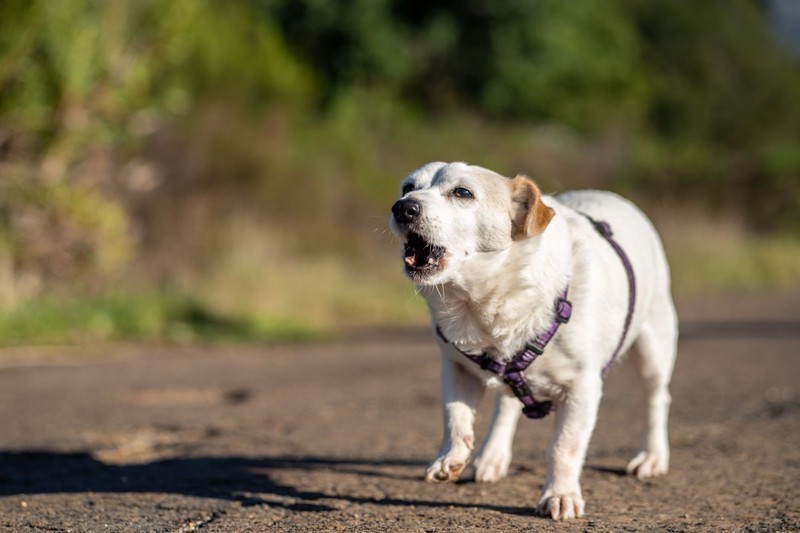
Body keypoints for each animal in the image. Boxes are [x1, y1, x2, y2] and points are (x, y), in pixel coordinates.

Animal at [390, 162, 680, 520]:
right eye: (407, 188)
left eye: (462, 192)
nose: (402, 207)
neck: (486, 304)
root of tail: (612, 196)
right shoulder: (456, 369)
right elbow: (454, 418)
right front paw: (451, 459)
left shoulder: (582, 388)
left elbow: (564, 446)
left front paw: (561, 494)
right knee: (508, 404)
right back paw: (492, 456)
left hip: (653, 345)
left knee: (657, 398)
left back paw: (652, 457)